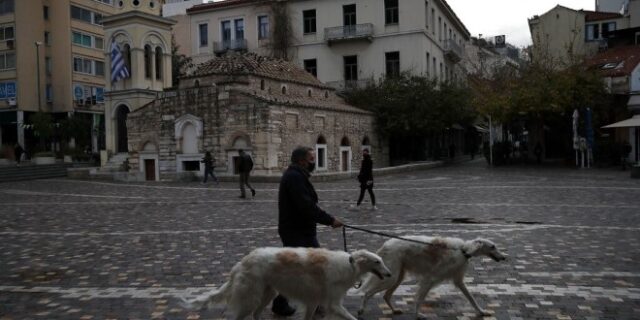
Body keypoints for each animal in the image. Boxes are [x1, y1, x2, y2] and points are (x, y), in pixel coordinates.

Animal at [180, 248, 390, 320]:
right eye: (377, 261)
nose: (389, 274)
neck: (350, 264)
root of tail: (242, 262)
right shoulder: (333, 303)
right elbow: (351, 317)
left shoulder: (313, 301)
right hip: (251, 297)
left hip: (268, 293)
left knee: (256, 315)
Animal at [358, 236, 508, 318]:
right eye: (493, 247)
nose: (504, 258)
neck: (463, 251)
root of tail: (385, 245)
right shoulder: (429, 279)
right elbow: (419, 299)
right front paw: (418, 315)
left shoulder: (458, 280)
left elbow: (471, 298)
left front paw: (482, 312)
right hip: (391, 276)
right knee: (367, 293)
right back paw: (361, 310)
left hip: (398, 276)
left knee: (386, 295)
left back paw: (394, 310)